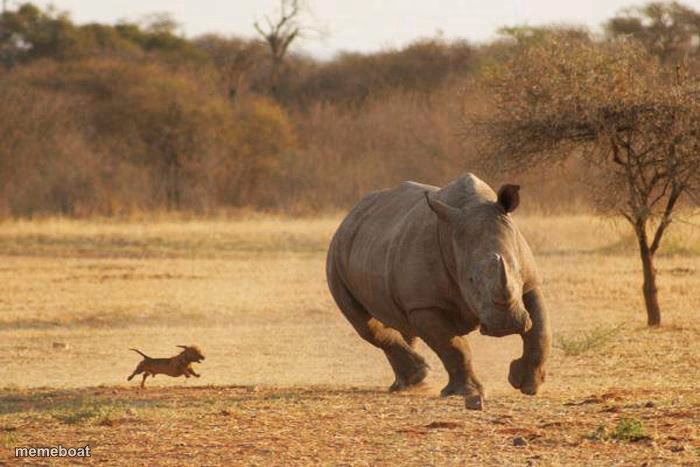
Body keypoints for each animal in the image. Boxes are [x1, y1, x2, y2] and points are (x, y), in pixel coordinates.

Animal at [326, 173, 551, 409]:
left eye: (517, 270)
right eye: (470, 280)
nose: (505, 325)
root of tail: (348, 217)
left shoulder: (529, 283)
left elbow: (541, 330)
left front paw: (528, 386)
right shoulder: (425, 304)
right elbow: (453, 347)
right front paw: (467, 392)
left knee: (401, 324)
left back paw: (409, 385)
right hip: (336, 255)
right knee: (364, 323)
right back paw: (418, 377)